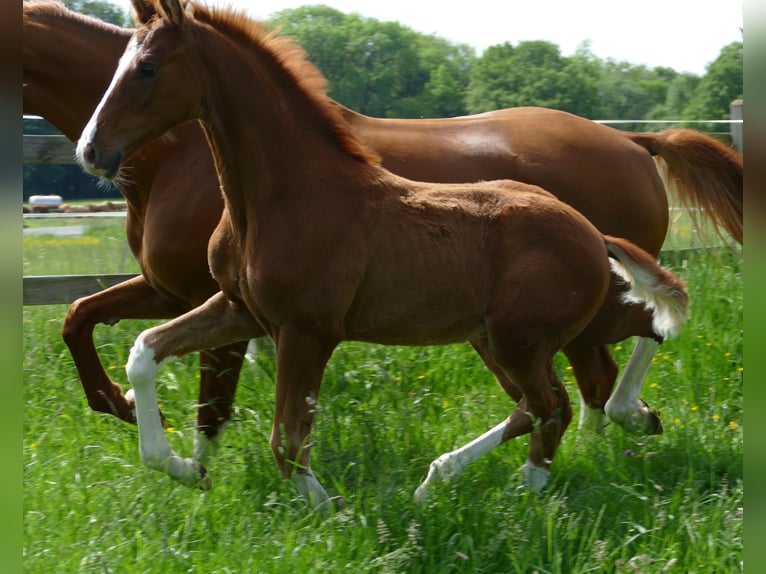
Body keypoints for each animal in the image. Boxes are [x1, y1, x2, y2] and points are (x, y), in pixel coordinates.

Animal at [23, 1, 740, 464]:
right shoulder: (183, 291)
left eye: (145, 69)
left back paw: (610, 426)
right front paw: (135, 420)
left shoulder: (218, 300)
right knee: (591, 374)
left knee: (617, 352)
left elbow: (218, 402)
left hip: (544, 319)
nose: (92, 151)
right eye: (119, 66)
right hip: (524, 326)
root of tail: (632, 140)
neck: (179, 156)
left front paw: (188, 463)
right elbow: (84, 318)